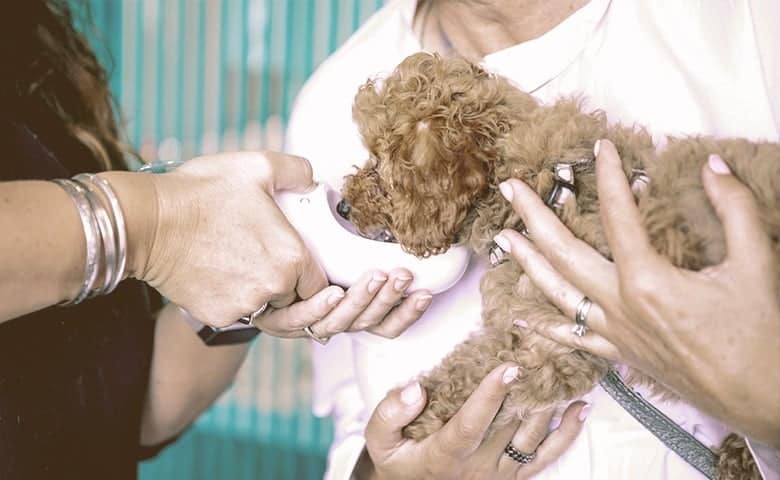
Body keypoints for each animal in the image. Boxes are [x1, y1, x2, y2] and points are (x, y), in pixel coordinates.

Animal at [342, 53, 772, 480]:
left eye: (379, 163)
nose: (344, 206)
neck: (535, 184)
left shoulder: (546, 340)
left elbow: (471, 373)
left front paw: (418, 413)